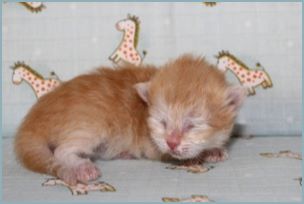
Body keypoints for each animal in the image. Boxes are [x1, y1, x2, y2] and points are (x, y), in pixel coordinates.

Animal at [14, 54, 247, 185]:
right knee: (61, 151)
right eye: (162, 122)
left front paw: (214, 149)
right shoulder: (155, 146)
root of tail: (33, 120)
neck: (144, 111)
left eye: (192, 125)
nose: (172, 142)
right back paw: (81, 167)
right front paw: (201, 155)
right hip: (91, 124)